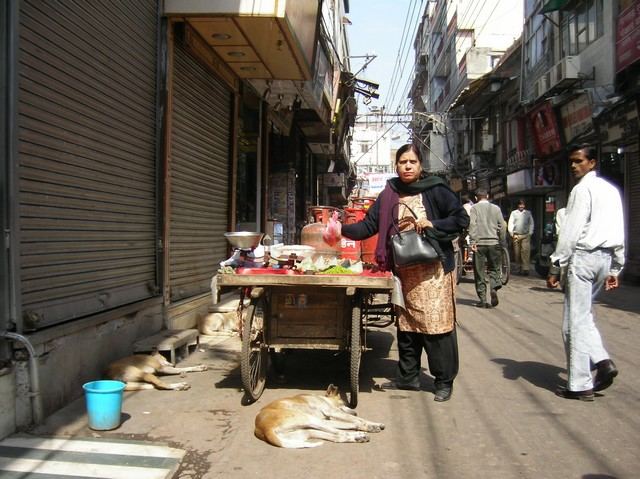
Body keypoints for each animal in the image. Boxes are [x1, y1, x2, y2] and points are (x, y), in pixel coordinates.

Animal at [255, 384, 384, 448]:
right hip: (310, 420)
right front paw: (369, 424)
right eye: (342, 403)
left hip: (306, 431)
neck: (322, 398)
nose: (355, 412)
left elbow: (355, 422)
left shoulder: (327, 420)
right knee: (339, 433)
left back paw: (357, 438)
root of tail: (262, 429)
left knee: (336, 436)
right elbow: (357, 420)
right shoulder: (332, 412)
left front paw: (373, 425)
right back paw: (358, 435)